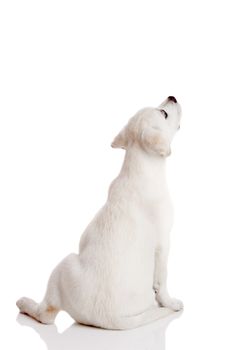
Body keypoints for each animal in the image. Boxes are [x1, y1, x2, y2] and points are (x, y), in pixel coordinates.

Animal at [16, 96, 184, 330]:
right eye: (163, 113)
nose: (172, 97)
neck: (140, 168)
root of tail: (109, 318)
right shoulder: (163, 244)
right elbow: (163, 279)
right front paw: (170, 302)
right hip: (64, 263)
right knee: (45, 315)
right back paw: (25, 303)